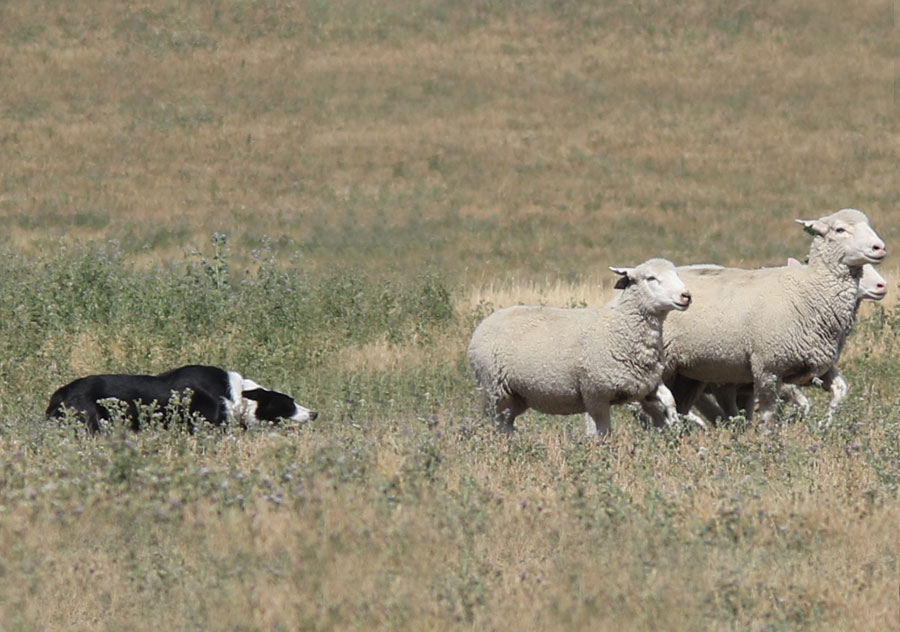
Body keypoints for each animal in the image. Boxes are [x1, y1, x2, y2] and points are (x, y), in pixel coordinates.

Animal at [468, 256, 692, 434]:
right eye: (651, 278)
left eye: (676, 274)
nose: (686, 296)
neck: (618, 327)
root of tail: (484, 323)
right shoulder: (595, 394)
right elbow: (602, 432)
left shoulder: (647, 384)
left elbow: (669, 398)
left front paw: (674, 422)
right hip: (494, 388)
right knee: (495, 421)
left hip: (516, 395)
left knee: (506, 422)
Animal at [648, 211, 884, 424]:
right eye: (840, 230)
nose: (879, 248)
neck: (809, 288)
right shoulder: (769, 366)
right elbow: (771, 415)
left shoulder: (816, 364)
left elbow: (841, 390)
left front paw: (824, 424)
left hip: (689, 373)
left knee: (681, 405)